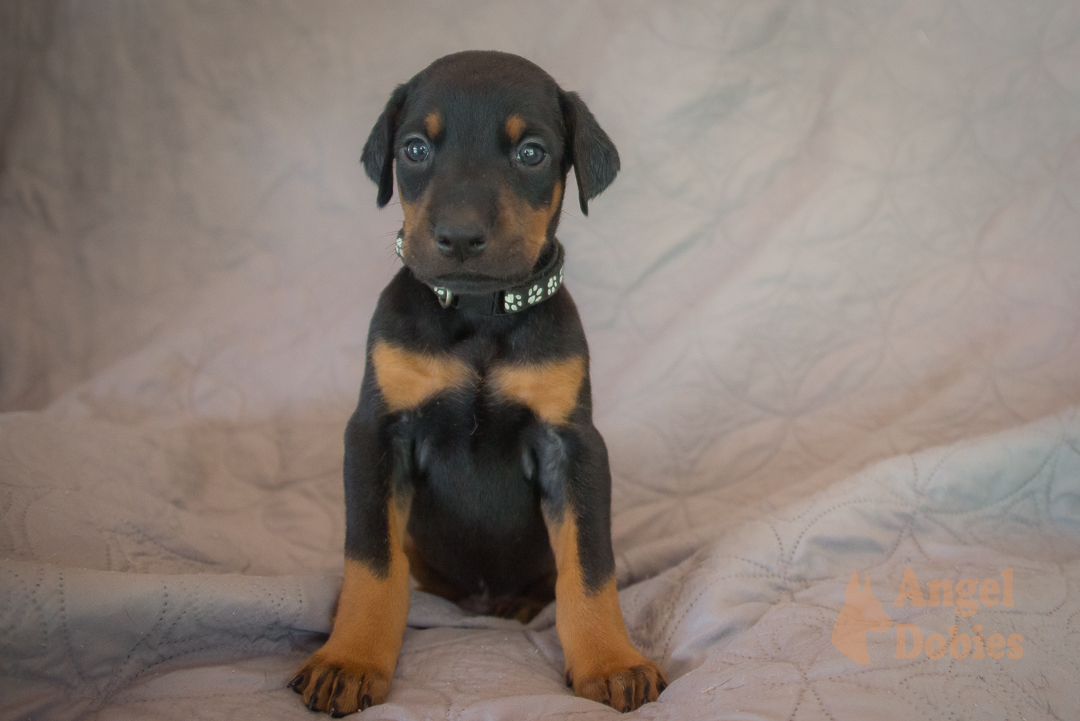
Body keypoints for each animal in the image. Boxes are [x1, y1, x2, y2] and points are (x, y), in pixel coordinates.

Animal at [287, 49, 665, 716]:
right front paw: (349, 660)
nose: (459, 236)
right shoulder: (376, 434)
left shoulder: (573, 445)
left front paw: (612, 662)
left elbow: (590, 567)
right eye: (414, 148)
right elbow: (371, 561)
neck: (478, 317)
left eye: (531, 153)